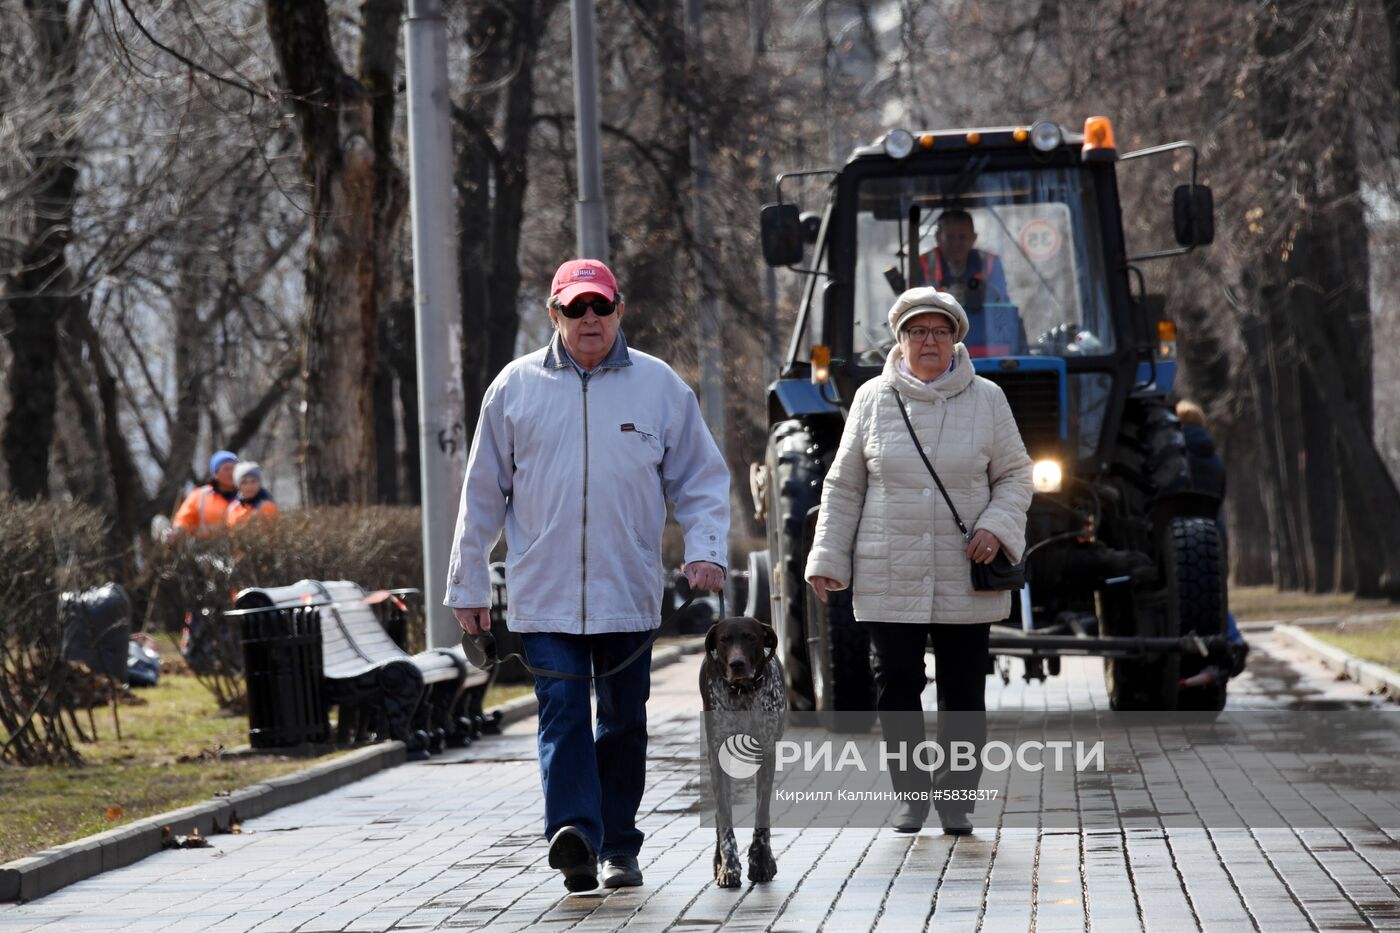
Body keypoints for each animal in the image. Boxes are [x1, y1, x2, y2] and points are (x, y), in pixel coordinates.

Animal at [700, 616, 789, 885]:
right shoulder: (716, 757)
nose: (737, 663)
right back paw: (719, 862)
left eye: (750, 637)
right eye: (724, 640)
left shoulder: (767, 752)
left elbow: (762, 812)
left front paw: (761, 862)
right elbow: (724, 816)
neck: (743, 692)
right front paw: (728, 867)